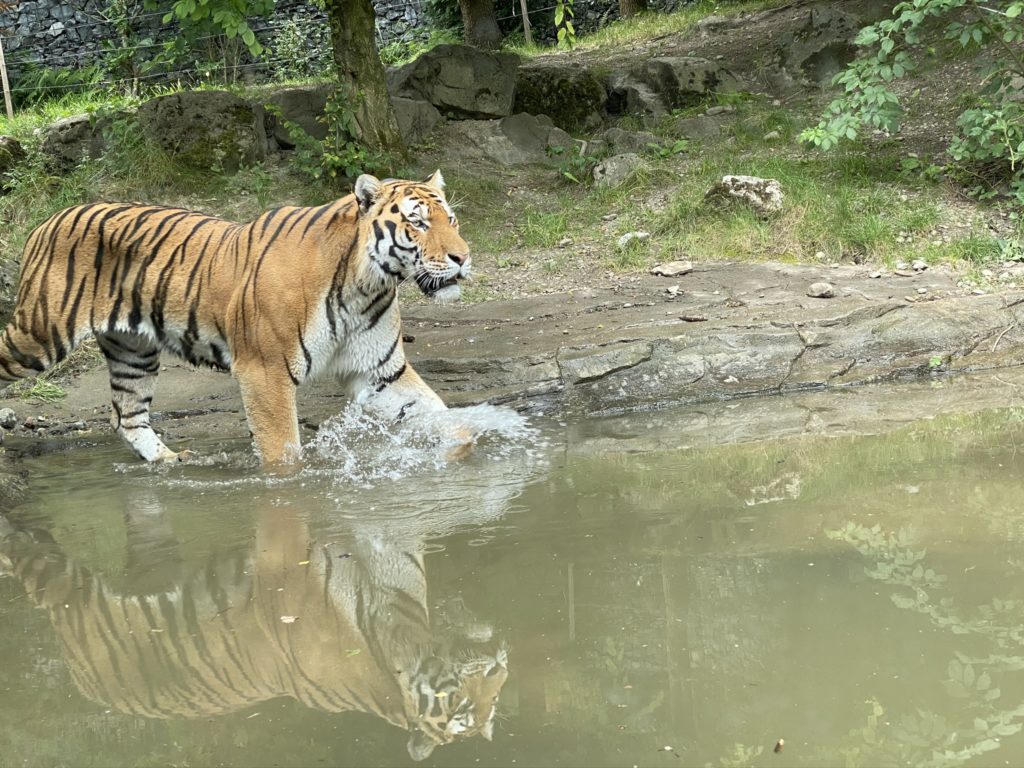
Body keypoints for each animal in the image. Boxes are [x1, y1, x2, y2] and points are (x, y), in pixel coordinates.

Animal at [0, 171, 471, 466]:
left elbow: (444, 419)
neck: (365, 284)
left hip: (133, 352)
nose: (463, 258)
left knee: (125, 416)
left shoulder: (379, 370)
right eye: (417, 223)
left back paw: (168, 461)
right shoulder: (265, 371)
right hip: (38, 335)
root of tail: (45, 222)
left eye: (452, 219)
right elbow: (283, 455)